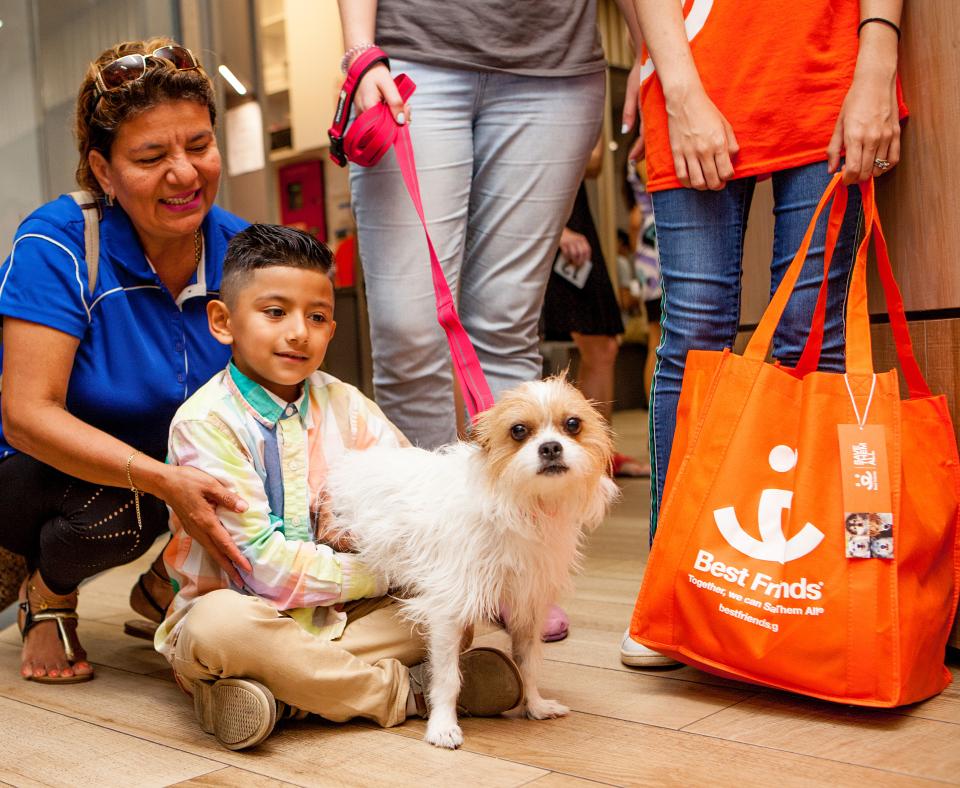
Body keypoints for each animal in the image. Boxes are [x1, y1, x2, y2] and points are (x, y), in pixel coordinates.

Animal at [326, 374, 620, 744]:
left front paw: (535, 704)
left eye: (572, 424)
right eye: (518, 430)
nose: (551, 447)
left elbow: (528, 663)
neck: (524, 507)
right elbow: (448, 676)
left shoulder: (527, 604)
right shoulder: (448, 608)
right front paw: (442, 724)